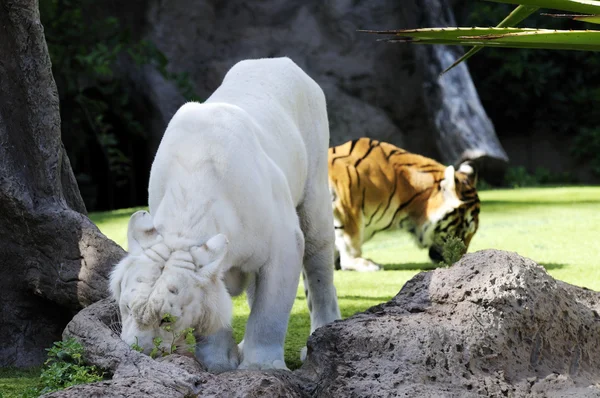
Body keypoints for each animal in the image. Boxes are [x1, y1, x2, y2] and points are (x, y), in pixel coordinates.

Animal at [109, 57, 340, 372]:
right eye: (127, 307)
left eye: (166, 319)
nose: (138, 351)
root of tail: (280, 60)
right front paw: (219, 361)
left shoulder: (282, 242)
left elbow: (271, 309)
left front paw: (260, 366)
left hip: (315, 178)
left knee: (319, 255)